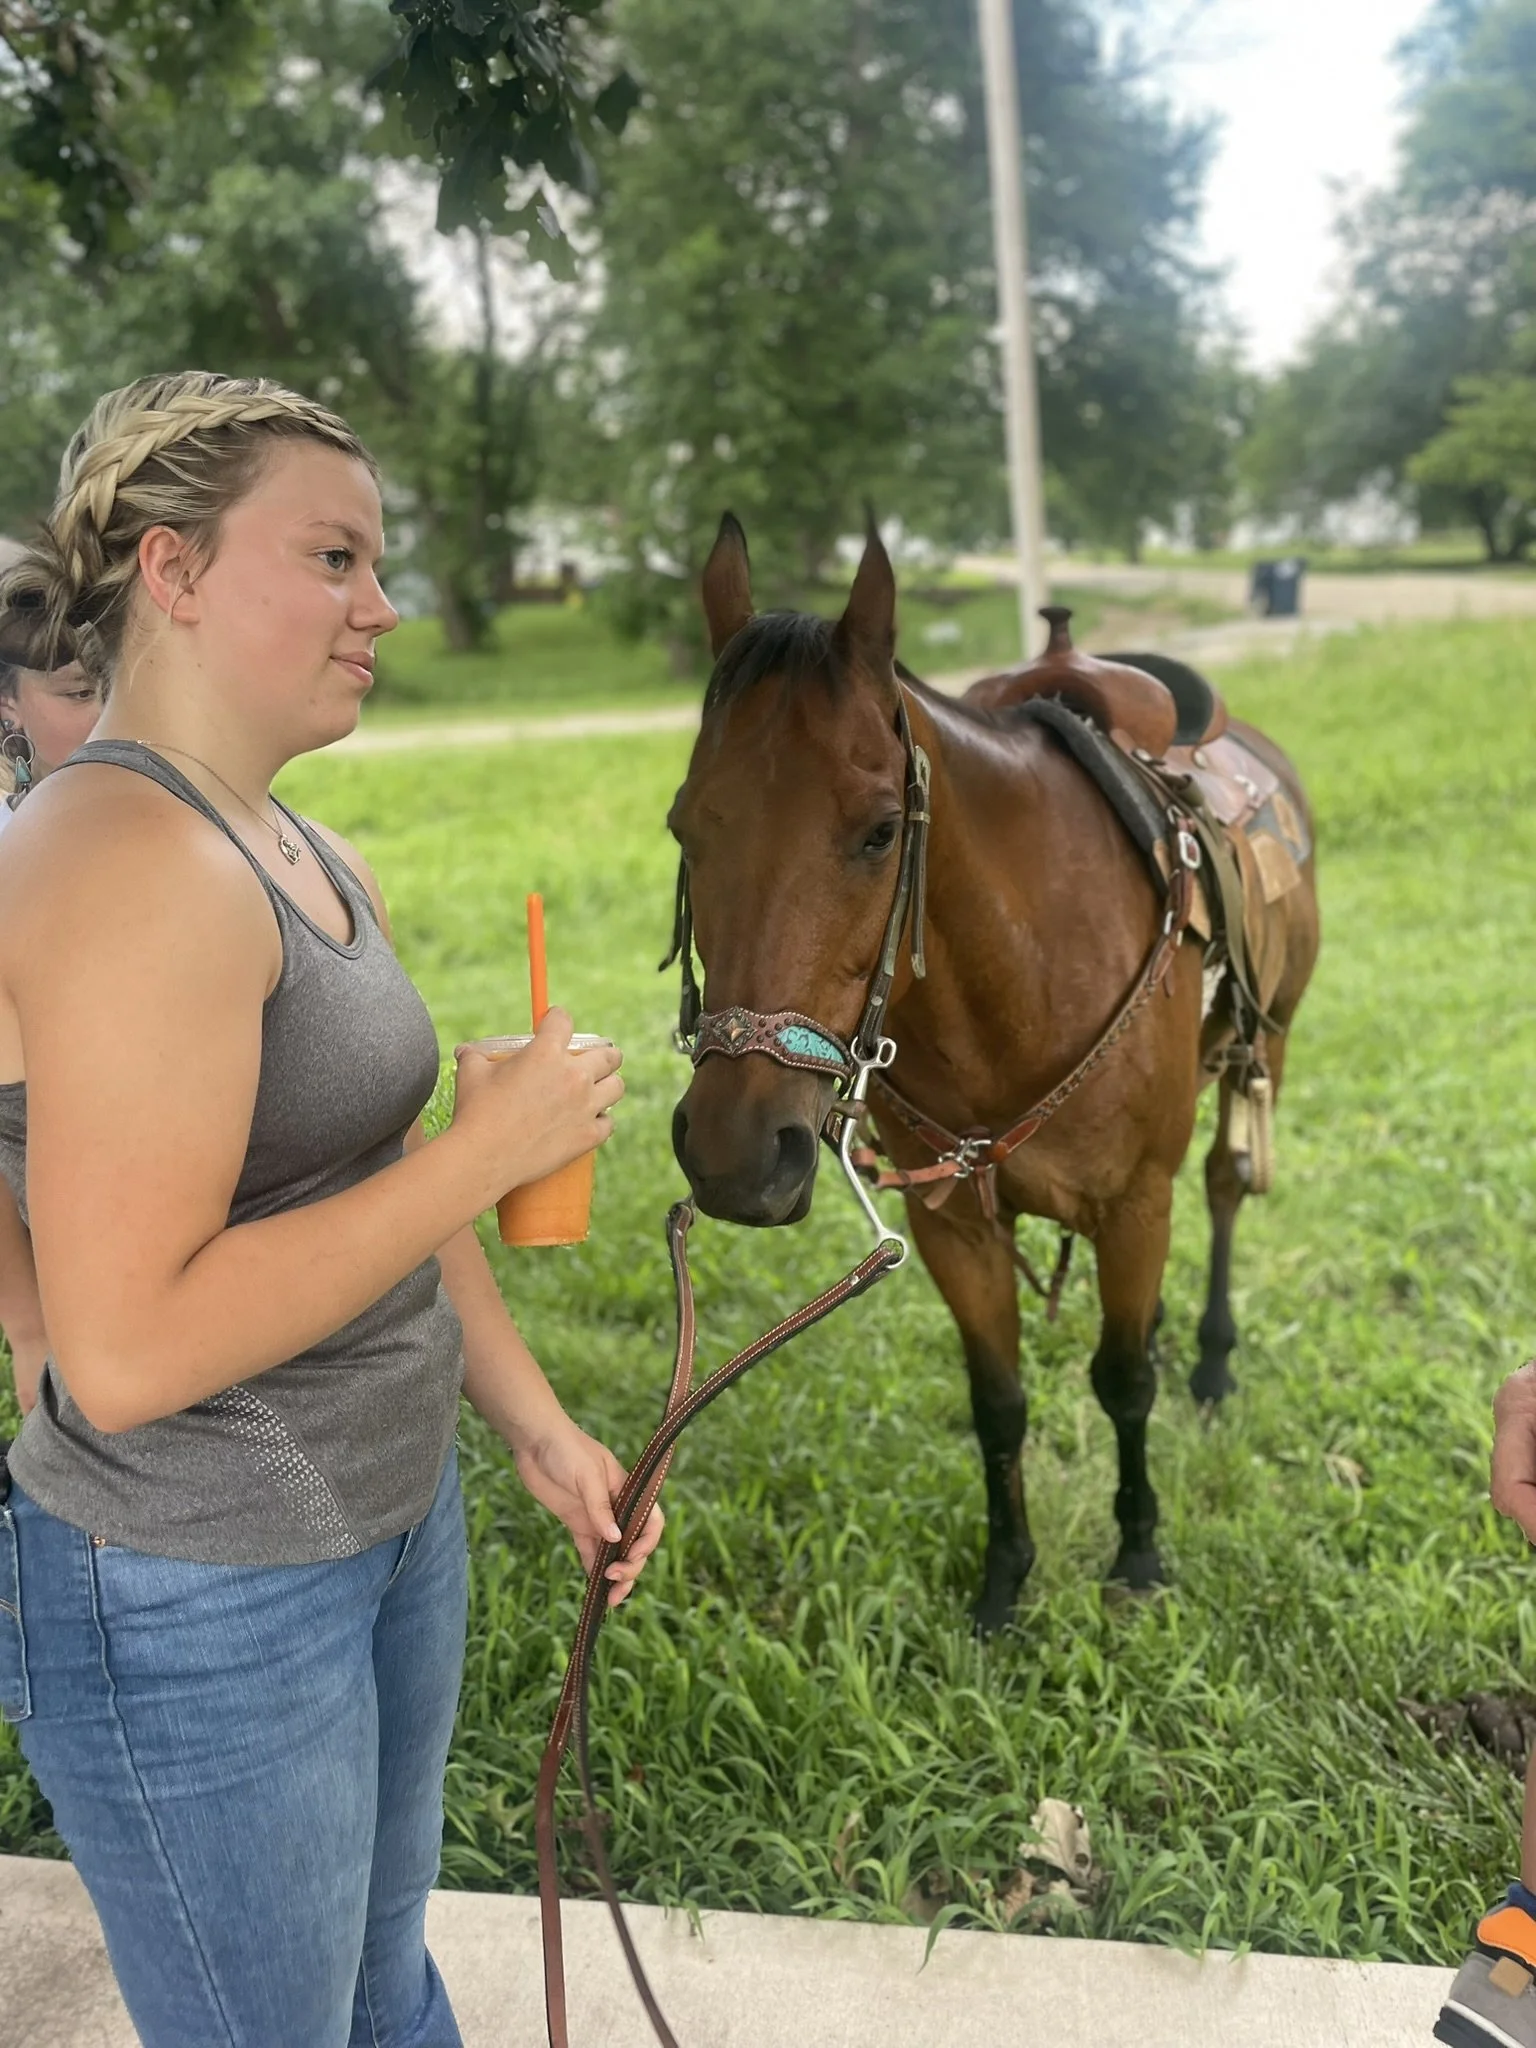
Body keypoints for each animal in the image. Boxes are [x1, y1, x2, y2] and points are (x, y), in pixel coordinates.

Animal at [667, 515, 1320, 1631]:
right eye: (683, 825)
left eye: (881, 830)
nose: (736, 1154)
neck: (1019, 974)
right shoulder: (952, 1226)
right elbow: (999, 1398)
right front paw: (1005, 1574)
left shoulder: (1136, 1205)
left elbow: (1121, 1380)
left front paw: (1138, 1552)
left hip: (1259, 1048)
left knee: (1227, 1185)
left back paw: (1210, 1359)